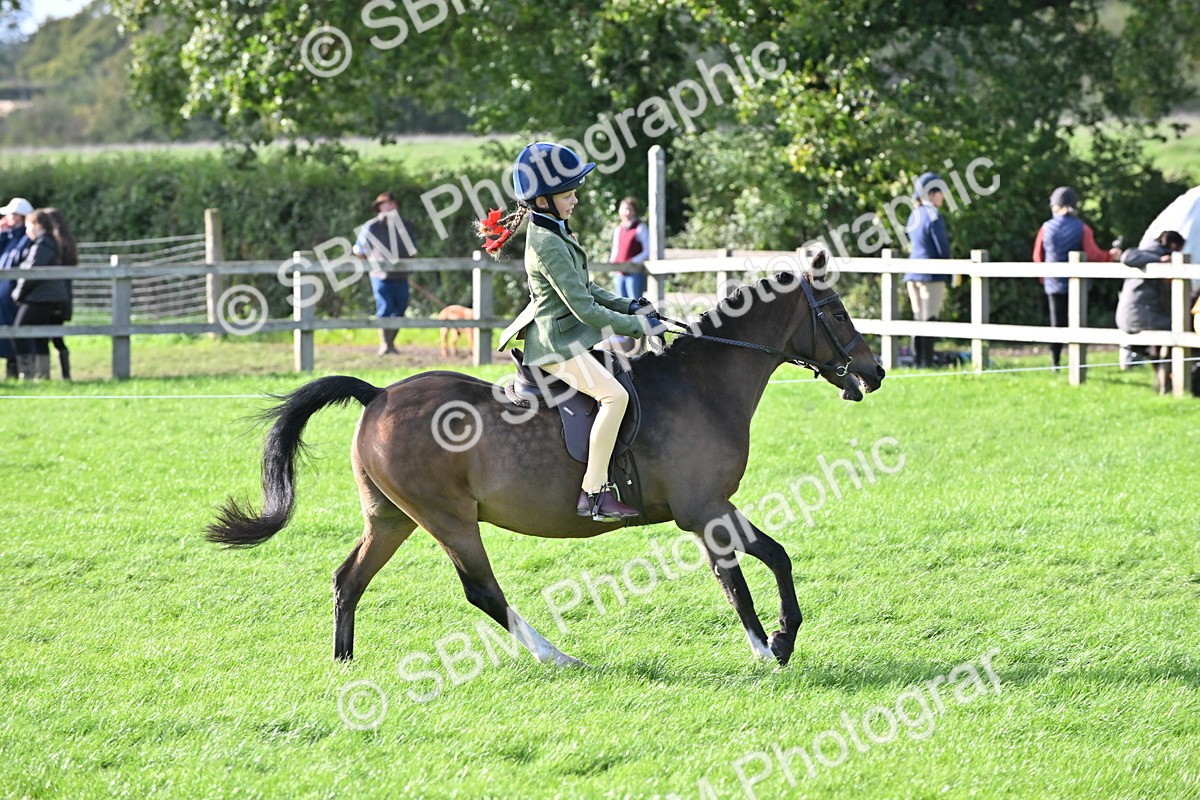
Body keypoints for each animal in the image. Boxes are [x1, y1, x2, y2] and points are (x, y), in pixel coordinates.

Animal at [207, 252, 885, 667]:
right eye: (837, 312)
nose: (874, 373)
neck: (701, 384)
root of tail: (379, 395)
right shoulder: (703, 510)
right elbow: (737, 579)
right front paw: (766, 649)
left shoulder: (714, 507)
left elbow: (777, 556)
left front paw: (784, 638)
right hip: (448, 519)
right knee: (482, 590)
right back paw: (557, 656)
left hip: (392, 518)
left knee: (349, 578)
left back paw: (344, 663)